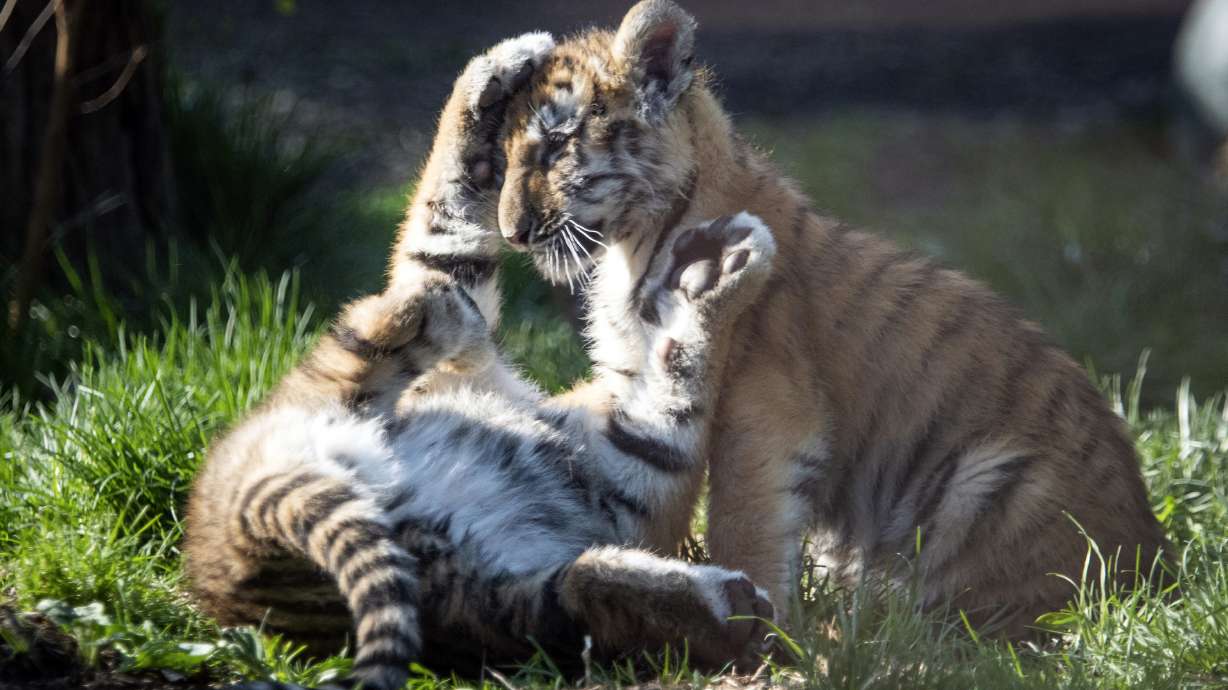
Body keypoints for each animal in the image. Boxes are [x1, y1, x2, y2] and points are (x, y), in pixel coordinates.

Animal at [184, 34, 776, 690]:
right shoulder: (612, 469)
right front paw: (498, 69)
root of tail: (234, 554)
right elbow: (443, 211)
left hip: (480, 599)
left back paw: (735, 614)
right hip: (315, 403)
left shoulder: (624, 482)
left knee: (579, 592)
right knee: (386, 327)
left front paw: (709, 273)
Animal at [479, 0, 1172, 638]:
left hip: (987, 486)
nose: (511, 233)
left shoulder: (764, 411)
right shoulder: (636, 379)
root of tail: (1157, 564)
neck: (632, 241)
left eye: (556, 147)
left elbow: (745, 520)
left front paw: (763, 622)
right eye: (507, 154)